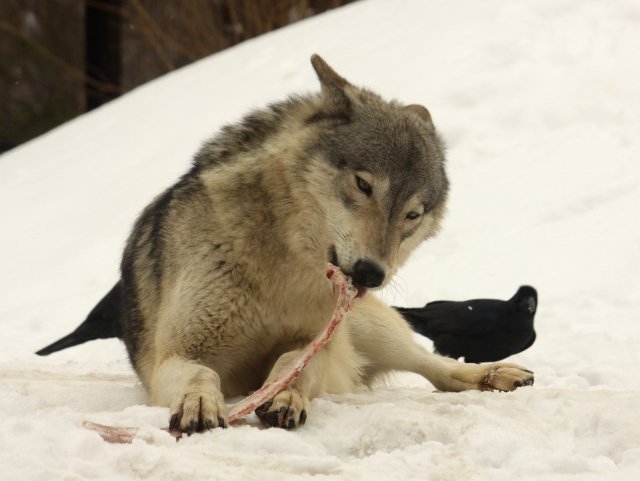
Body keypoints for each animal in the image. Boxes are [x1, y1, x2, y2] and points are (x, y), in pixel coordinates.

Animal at [37, 55, 532, 432]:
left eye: (412, 215)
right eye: (364, 185)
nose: (371, 273)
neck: (280, 273)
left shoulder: (317, 342)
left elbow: (295, 360)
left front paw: (286, 396)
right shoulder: (177, 355)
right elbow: (200, 373)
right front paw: (200, 403)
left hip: (372, 332)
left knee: (439, 369)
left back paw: (497, 374)